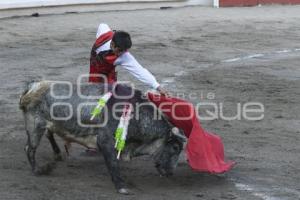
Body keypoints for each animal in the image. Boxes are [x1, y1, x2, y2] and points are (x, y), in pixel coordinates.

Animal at [19, 80, 185, 195]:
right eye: (175, 147)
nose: (170, 173)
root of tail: (33, 86)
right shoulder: (105, 141)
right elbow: (113, 163)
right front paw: (122, 187)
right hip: (34, 126)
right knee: (29, 148)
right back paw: (38, 170)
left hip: (47, 124)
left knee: (48, 134)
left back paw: (58, 155)